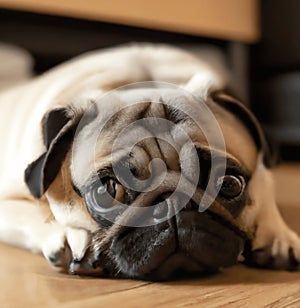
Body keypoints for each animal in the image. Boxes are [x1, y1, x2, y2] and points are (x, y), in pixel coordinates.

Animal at [0, 44, 300, 280]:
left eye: (228, 184)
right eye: (107, 190)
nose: (173, 205)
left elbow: (265, 188)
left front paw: (279, 236)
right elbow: (33, 214)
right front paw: (65, 235)